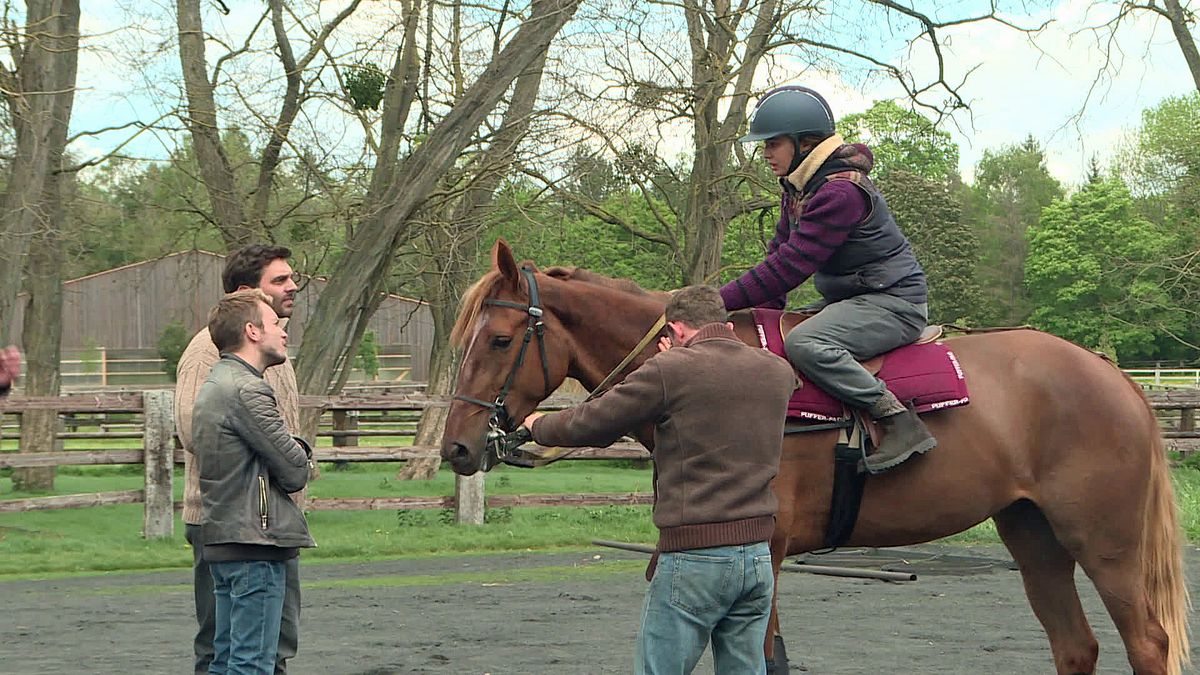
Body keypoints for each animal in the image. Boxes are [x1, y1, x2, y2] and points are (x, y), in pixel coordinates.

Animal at [441, 240, 1190, 672]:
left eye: (501, 339)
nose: (458, 446)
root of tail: (1113, 376)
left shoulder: (765, 553)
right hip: (1034, 539)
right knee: (1076, 646)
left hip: (1105, 544)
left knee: (1147, 643)